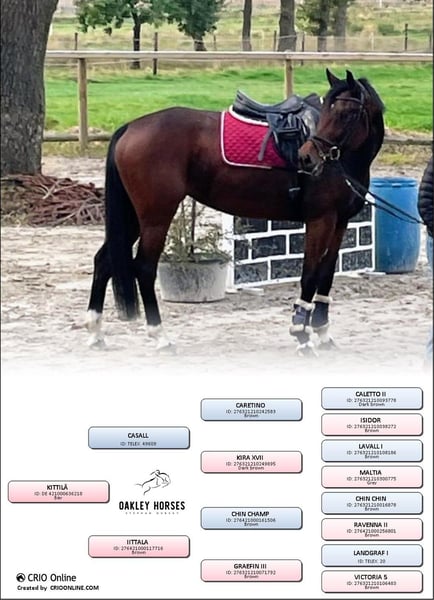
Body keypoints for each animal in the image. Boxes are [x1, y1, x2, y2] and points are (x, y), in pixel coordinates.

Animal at [85, 68, 385, 356]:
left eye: (347, 113)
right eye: (329, 111)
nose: (306, 158)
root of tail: (131, 127)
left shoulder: (340, 223)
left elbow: (326, 274)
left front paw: (322, 332)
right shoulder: (320, 221)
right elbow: (310, 275)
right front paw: (301, 335)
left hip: (134, 218)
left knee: (104, 261)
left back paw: (96, 333)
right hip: (155, 217)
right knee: (145, 268)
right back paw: (161, 337)